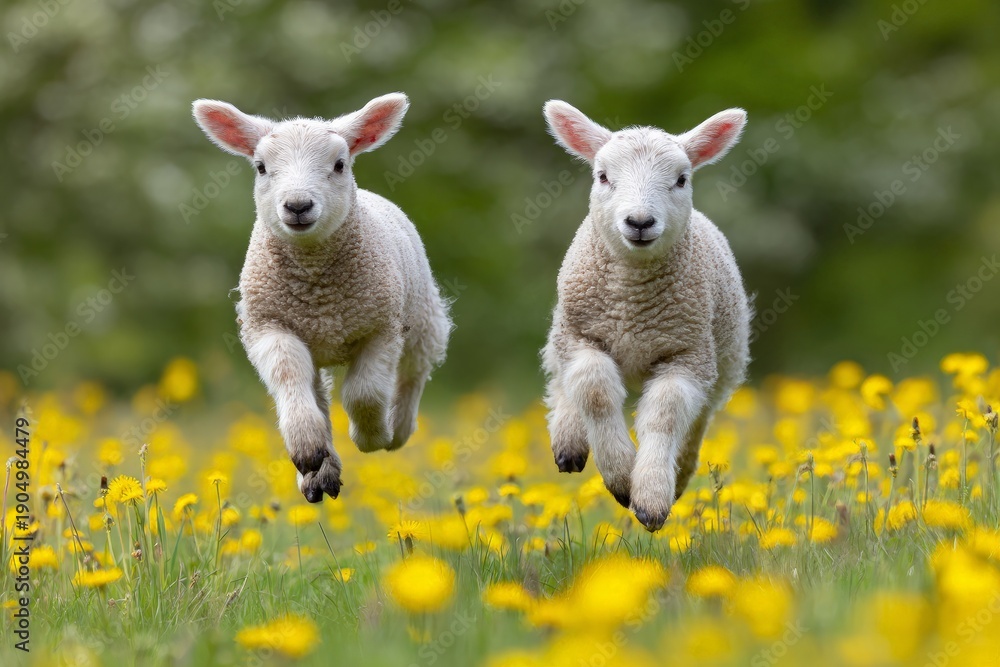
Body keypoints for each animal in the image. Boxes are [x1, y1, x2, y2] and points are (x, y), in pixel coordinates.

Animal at [192, 93, 451, 503]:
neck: (318, 293)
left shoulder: (381, 327)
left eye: (339, 164)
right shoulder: (269, 326)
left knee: (414, 371)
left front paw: (372, 437)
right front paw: (307, 450)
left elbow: (364, 393)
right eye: (261, 167)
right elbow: (289, 376)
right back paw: (320, 475)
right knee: (317, 392)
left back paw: (398, 429)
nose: (298, 206)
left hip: (422, 317)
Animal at [540, 100, 751, 532]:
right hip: (564, 325)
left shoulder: (688, 354)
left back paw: (680, 474)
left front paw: (651, 496)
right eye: (603, 176)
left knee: (696, 422)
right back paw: (569, 440)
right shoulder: (582, 333)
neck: (631, 307)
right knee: (561, 374)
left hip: (723, 365)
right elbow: (594, 388)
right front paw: (621, 476)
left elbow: (666, 413)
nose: (639, 222)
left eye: (681, 180)